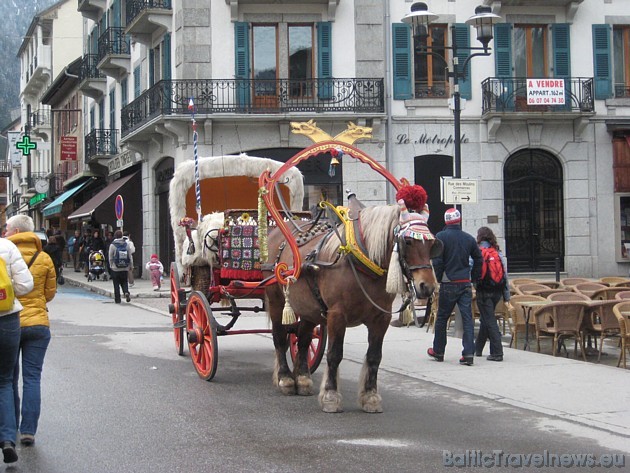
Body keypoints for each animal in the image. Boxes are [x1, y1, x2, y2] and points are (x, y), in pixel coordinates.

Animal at [264, 201, 442, 412]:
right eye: (407, 242)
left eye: (432, 245)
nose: (427, 286)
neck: (362, 262)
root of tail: (275, 231)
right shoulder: (336, 315)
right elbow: (334, 354)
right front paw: (331, 396)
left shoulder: (381, 318)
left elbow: (374, 356)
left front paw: (370, 397)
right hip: (277, 301)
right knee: (280, 338)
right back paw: (285, 379)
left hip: (309, 309)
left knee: (303, 340)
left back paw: (303, 379)